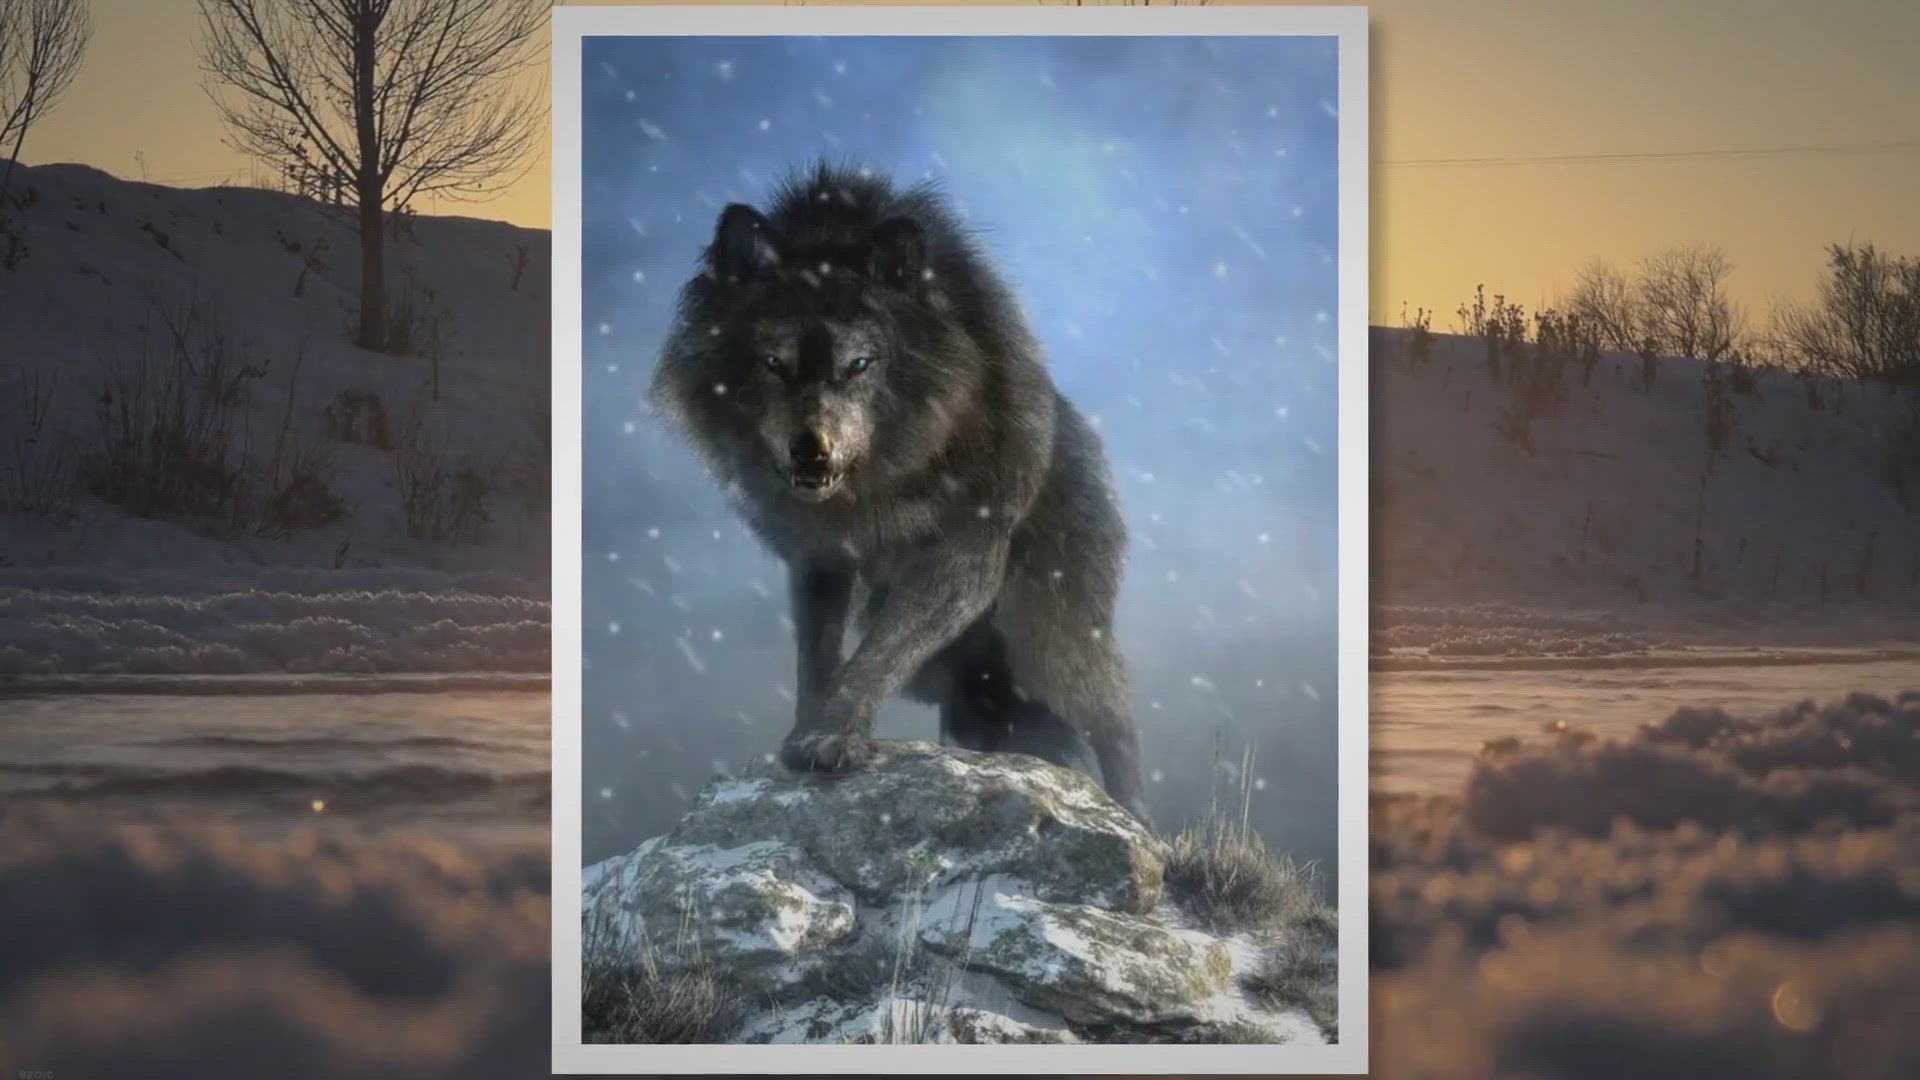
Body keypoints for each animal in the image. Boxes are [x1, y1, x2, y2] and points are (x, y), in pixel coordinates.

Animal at [649, 163, 1151, 827]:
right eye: (773, 362)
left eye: (860, 363)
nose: (811, 451)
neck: (879, 483)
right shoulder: (817, 561)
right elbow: (817, 657)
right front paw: (804, 732)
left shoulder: (965, 555)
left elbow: (881, 650)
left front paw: (833, 738)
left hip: (1048, 643)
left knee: (1114, 718)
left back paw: (1142, 823)